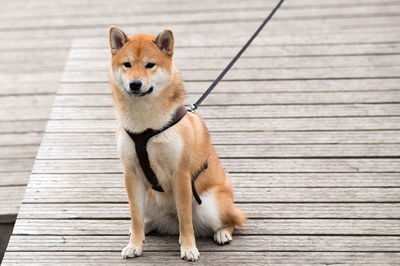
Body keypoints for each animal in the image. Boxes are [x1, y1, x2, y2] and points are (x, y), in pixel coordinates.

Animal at [109, 26, 247, 260]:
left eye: (149, 65)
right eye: (127, 64)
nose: (135, 84)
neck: (146, 127)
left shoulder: (180, 174)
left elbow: (185, 219)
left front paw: (189, 248)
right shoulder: (131, 173)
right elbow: (135, 216)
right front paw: (135, 245)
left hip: (209, 205)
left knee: (234, 220)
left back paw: (222, 233)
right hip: (149, 198)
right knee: (147, 220)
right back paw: (145, 228)